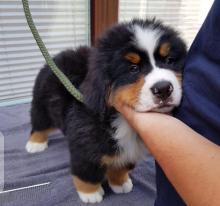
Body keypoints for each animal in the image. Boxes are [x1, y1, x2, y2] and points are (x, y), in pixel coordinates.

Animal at [26, 18, 187, 203]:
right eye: (133, 68)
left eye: (169, 60)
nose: (163, 89)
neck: (120, 118)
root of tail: (57, 56)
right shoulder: (86, 145)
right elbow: (87, 172)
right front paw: (90, 193)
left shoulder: (129, 150)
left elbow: (121, 166)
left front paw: (120, 182)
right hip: (41, 104)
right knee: (39, 122)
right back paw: (35, 143)